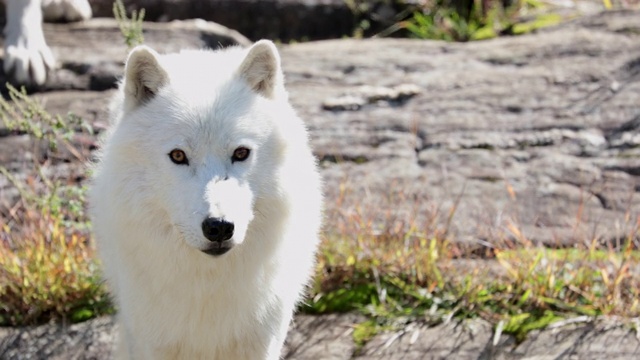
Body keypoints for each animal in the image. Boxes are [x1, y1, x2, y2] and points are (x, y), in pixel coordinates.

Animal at [87, 40, 322, 360]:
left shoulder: (262, 340)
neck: (208, 283)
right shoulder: (151, 340)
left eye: (240, 153)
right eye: (178, 155)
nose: (219, 227)